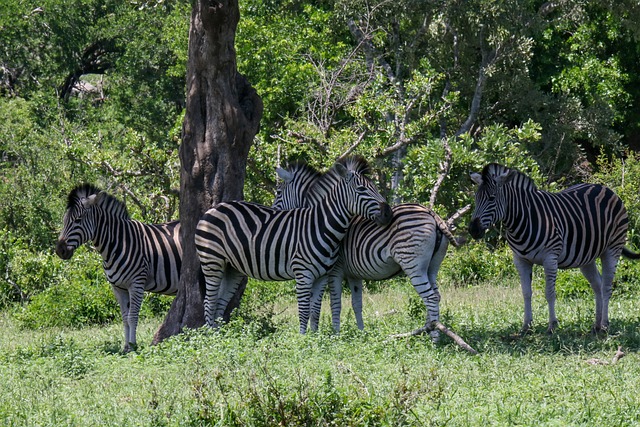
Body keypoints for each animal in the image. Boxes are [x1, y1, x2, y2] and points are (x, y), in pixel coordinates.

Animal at [56, 184, 182, 352]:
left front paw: (133, 346)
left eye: (78, 220)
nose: (59, 250)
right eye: (64, 220)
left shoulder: (137, 283)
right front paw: (126, 347)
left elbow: (132, 316)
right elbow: (124, 317)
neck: (118, 243)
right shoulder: (118, 287)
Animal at [195, 156, 392, 333]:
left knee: (219, 304)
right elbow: (305, 311)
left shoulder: (322, 276)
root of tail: (214, 208)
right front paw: (302, 339)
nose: (388, 213)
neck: (319, 225)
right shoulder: (303, 273)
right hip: (212, 261)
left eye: (375, 188)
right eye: (361, 189)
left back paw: (222, 338)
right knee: (209, 302)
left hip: (232, 268)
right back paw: (211, 340)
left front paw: (315, 340)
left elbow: (315, 311)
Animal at [273, 160, 461, 339]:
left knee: (430, 297)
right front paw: (362, 333)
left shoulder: (335, 270)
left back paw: (433, 339)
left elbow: (336, 303)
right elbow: (357, 304)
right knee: (436, 296)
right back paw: (429, 330)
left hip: (414, 265)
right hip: (432, 267)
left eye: (278, 192)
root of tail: (431, 213)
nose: (273, 211)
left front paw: (336, 334)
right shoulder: (354, 274)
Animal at [468, 163, 640, 333]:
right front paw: (526, 326)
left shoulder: (550, 258)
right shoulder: (520, 260)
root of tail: (604, 188)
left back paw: (604, 325)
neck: (523, 219)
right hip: (586, 257)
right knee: (597, 285)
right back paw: (596, 325)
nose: (472, 230)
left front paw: (552, 325)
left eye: (491, 198)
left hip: (612, 248)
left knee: (606, 287)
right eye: (476, 199)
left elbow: (549, 293)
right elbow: (526, 293)